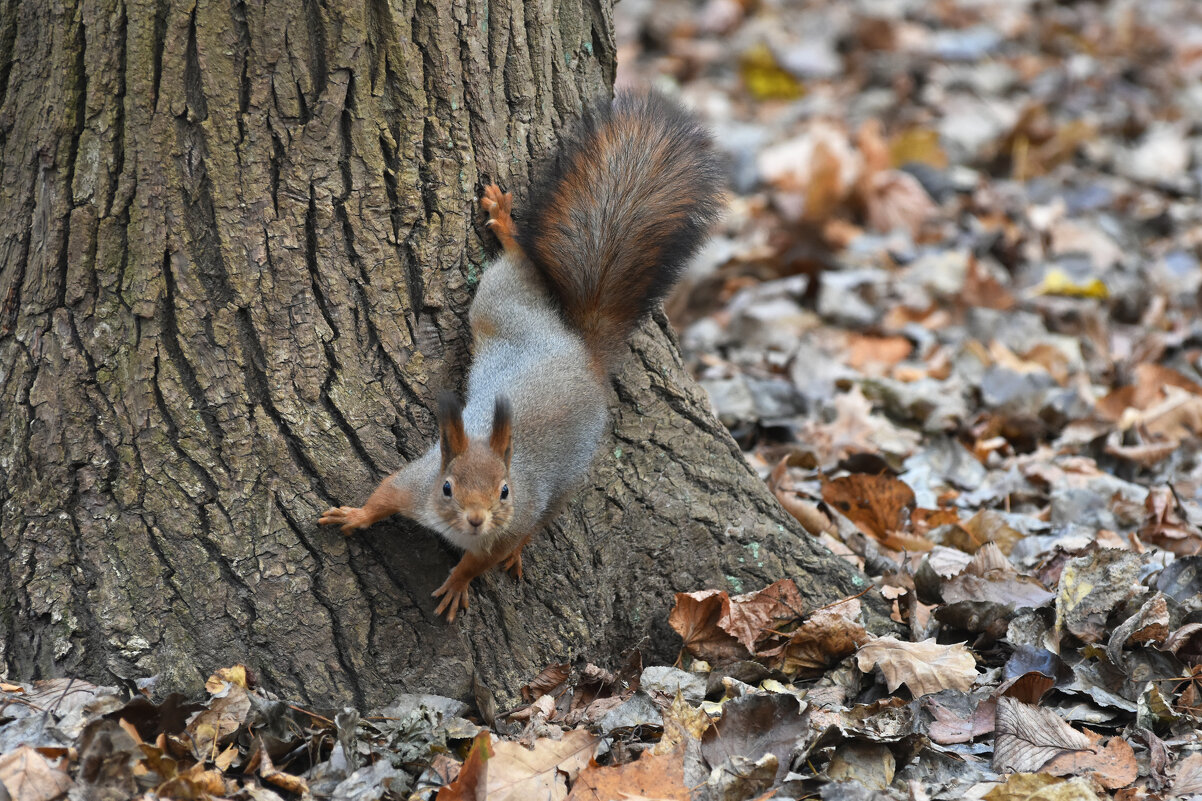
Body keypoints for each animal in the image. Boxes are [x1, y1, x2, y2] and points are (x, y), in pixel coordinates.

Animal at [314, 92, 721, 615]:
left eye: (504, 491)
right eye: (447, 487)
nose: (476, 519)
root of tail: (579, 350)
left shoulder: (511, 521)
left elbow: (480, 562)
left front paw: (459, 583)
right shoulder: (414, 483)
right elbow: (383, 495)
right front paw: (355, 516)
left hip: (562, 460)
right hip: (502, 306)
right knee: (519, 266)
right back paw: (506, 225)